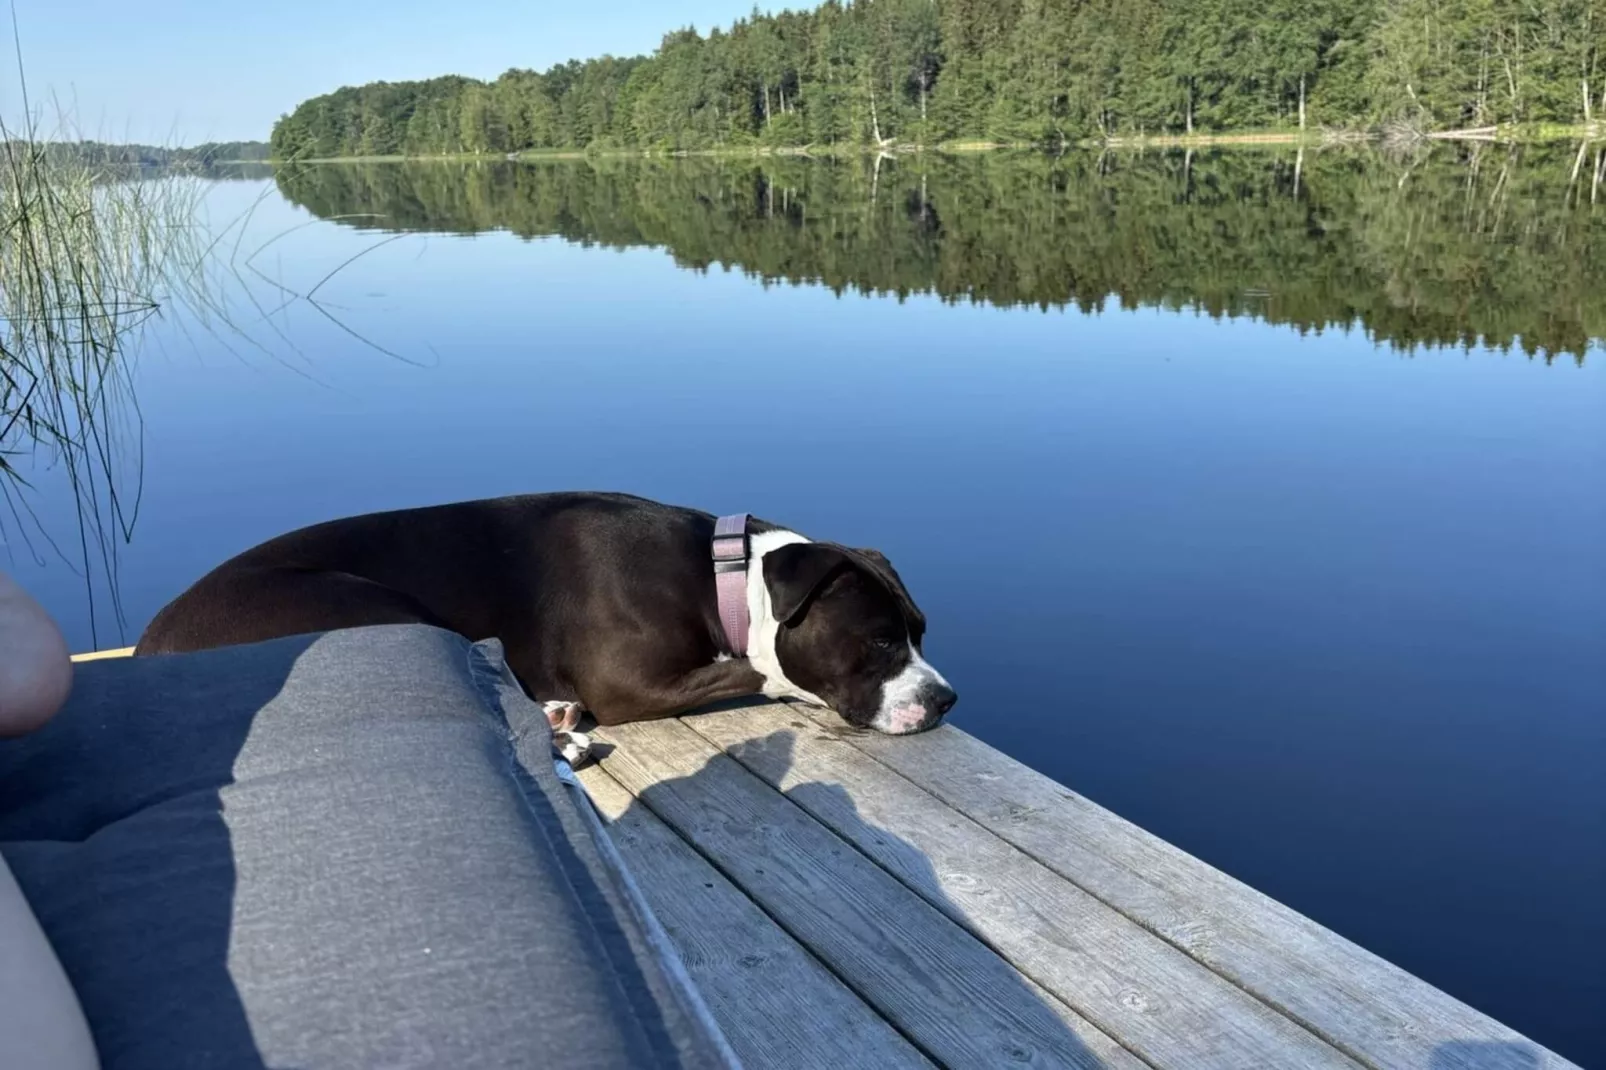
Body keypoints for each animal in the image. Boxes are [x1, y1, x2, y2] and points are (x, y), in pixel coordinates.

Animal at [138, 488, 950, 732]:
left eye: (920, 632)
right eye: (881, 642)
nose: (946, 699)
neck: (724, 576)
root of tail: (147, 647)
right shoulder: (626, 684)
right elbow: (756, 669)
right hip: (366, 601)